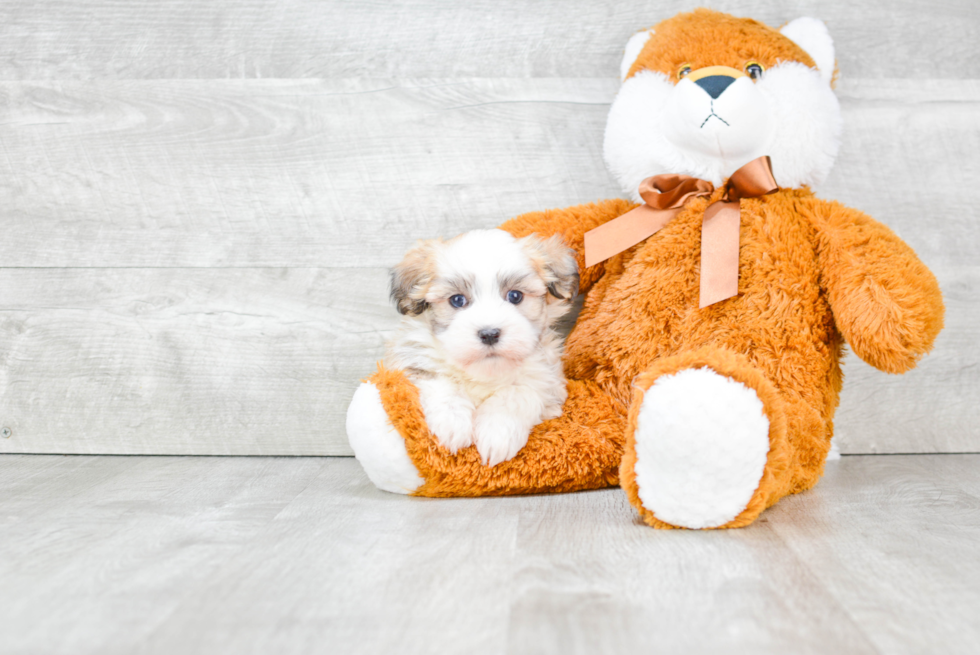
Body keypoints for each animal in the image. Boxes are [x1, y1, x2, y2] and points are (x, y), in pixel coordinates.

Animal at [386, 229, 580, 466]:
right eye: (457, 300)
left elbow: (516, 393)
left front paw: (497, 435)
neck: (485, 370)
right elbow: (442, 382)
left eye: (515, 296)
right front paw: (452, 424)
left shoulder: (546, 379)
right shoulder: (415, 359)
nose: (489, 334)